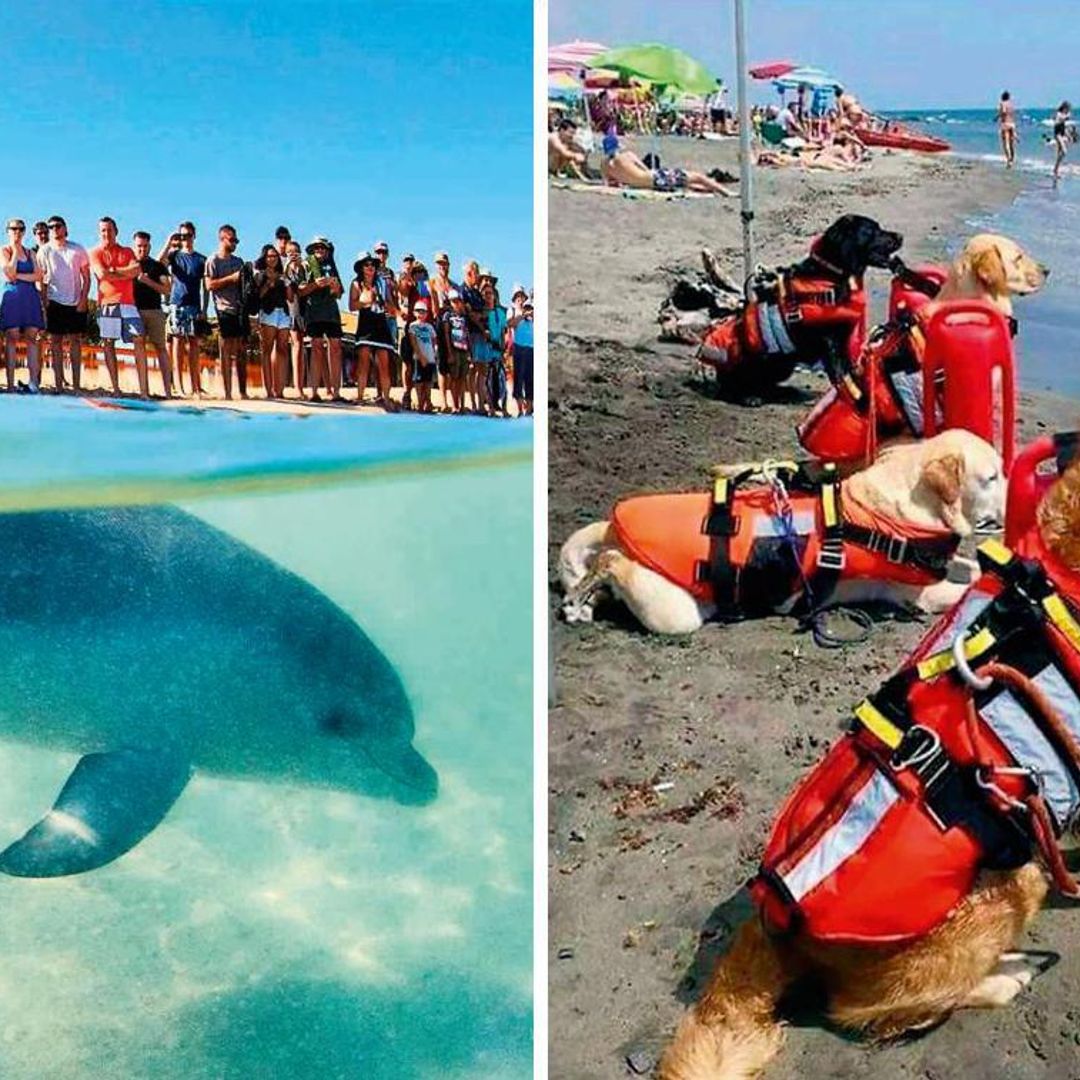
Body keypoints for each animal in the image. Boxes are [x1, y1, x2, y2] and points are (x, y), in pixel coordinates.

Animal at [557, 427, 1002, 635]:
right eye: (993, 477)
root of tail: (612, 529)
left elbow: (971, 567)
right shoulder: (922, 594)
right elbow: (968, 585)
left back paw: (584, 602)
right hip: (675, 612)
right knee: (610, 562)